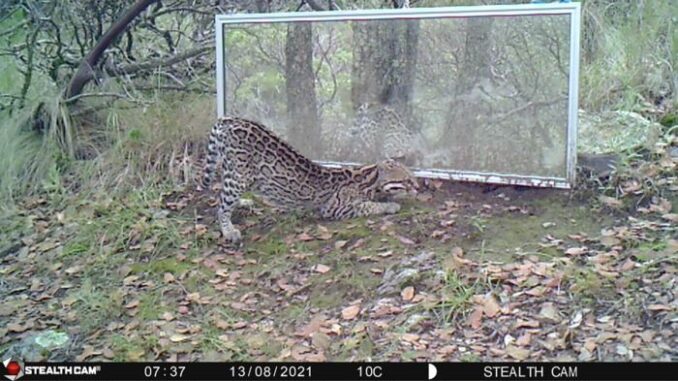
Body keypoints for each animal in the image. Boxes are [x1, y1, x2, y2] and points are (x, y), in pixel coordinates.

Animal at [201, 115, 420, 243]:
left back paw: (243, 203)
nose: (418, 187)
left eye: (413, 177)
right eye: (407, 180)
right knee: (221, 206)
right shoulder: (335, 208)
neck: (369, 178)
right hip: (238, 176)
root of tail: (229, 118)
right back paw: (229, 230)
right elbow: (368, 206)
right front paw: (390, 206)